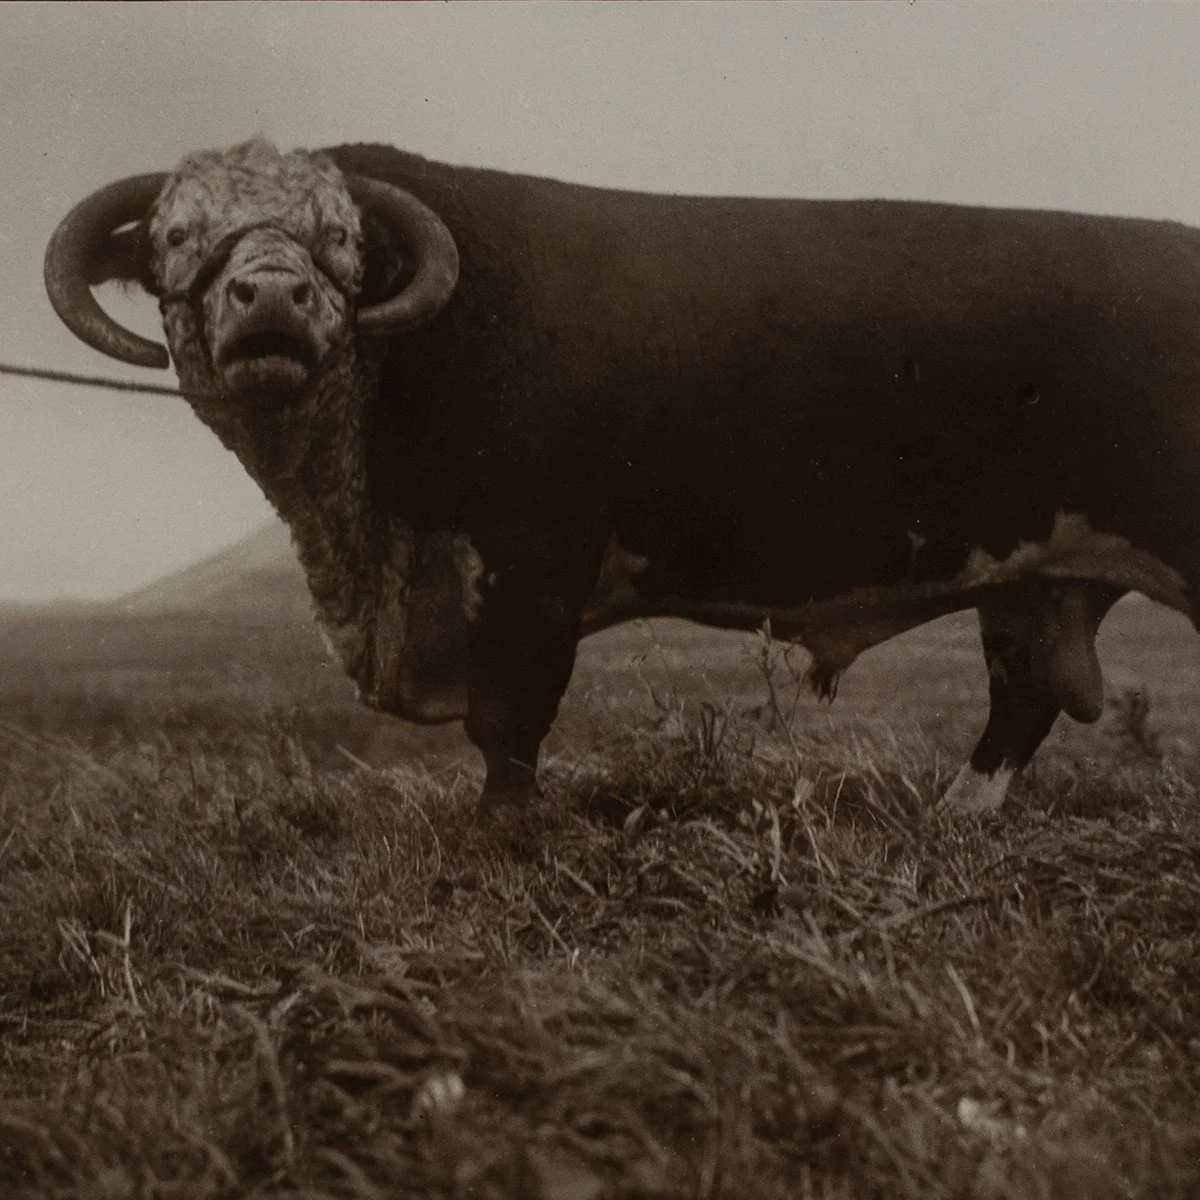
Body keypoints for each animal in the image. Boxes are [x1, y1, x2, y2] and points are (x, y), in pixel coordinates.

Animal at [43, 137, 1200, 818]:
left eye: (342, 239)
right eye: (175, 234)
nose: (272, 296)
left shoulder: (531, 568)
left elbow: (510, 728)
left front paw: (505, 846)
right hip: (1032, 581)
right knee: (1021, 702)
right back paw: (951, 821)